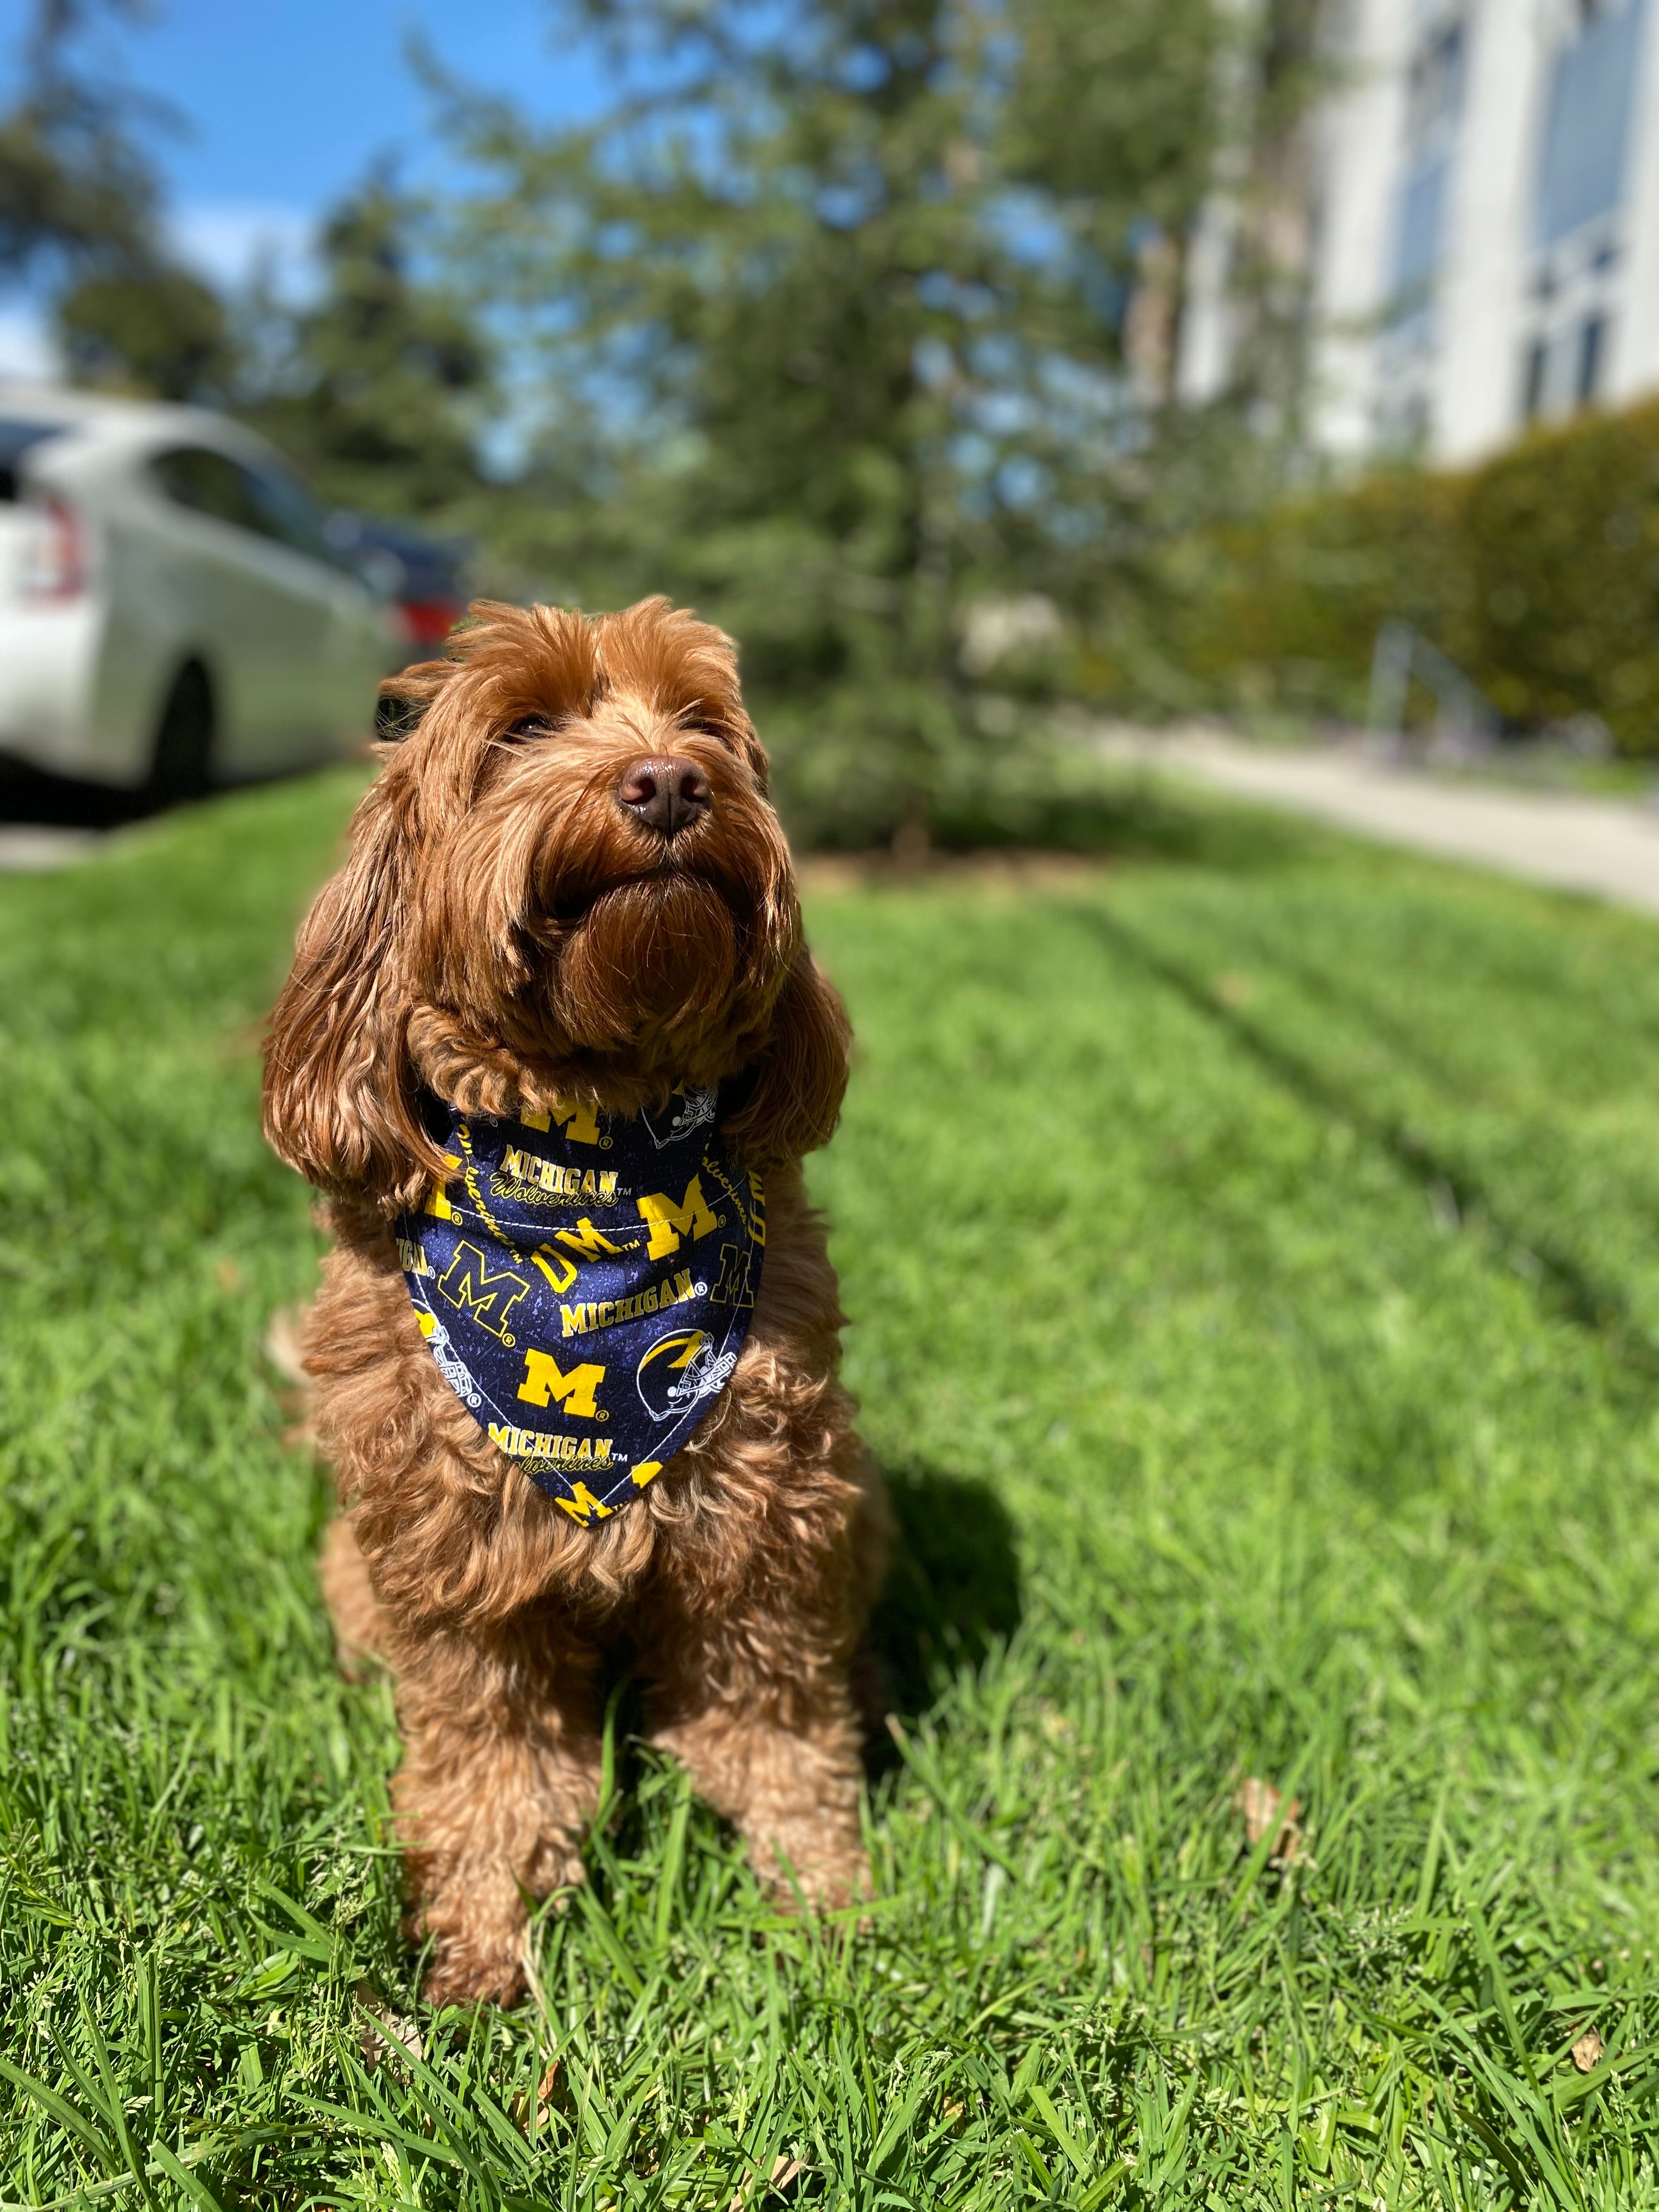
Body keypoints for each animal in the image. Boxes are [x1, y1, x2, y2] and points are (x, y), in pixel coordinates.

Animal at [263, 597, 884, 2017]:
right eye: (524, 728)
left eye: (703, 721)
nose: (667, 782)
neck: (594, 1145)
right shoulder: (458, 1567)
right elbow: (493, 1765)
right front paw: (480, 1946)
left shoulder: (765, 1519)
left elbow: (775, 1728)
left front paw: (828, 1905)